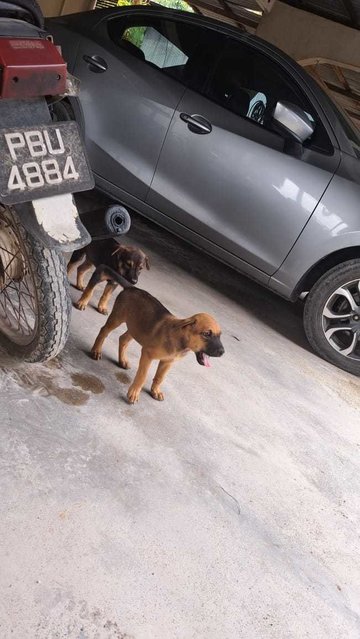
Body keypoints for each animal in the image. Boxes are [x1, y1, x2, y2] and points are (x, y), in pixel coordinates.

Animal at [90, 268, 224, 402]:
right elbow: (143, 376)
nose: (222, 352)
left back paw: (122, 360)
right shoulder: (147, 354)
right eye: (206, 334)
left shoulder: (168, 362)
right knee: (103, 331)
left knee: (123, 339)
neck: (180, 341)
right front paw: (134, 393)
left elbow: (160, 377)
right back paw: (96, 351)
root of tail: (131, 288)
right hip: (118, 318)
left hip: (137, 328)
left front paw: (155, 391)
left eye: (220, 335)